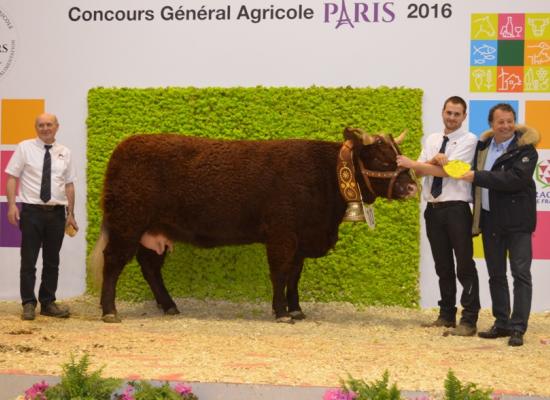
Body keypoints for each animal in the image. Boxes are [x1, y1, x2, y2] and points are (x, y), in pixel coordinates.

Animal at [90, 128, 418, 322]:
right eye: (381, 159)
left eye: (398, 155)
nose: (412, 187)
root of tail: (124, 146)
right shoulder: (282, 234)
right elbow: (280, 273)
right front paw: (282, 312)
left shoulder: (301, 239)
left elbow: (294, 276)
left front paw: (296, 309)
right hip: (127, 223)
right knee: (113, 263)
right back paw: (110, 311)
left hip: (155, 230)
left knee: (149, 266)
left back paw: (169, 305)